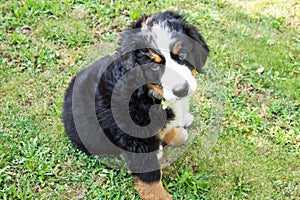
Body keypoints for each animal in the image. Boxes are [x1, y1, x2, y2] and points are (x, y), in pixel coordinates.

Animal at [62, 10, 209, 200]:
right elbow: (150, 178)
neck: (148, 93)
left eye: (182, 54)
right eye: (154, 67)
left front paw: (174, 132)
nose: (181, 90)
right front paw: (161, 196)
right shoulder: (136, 138)